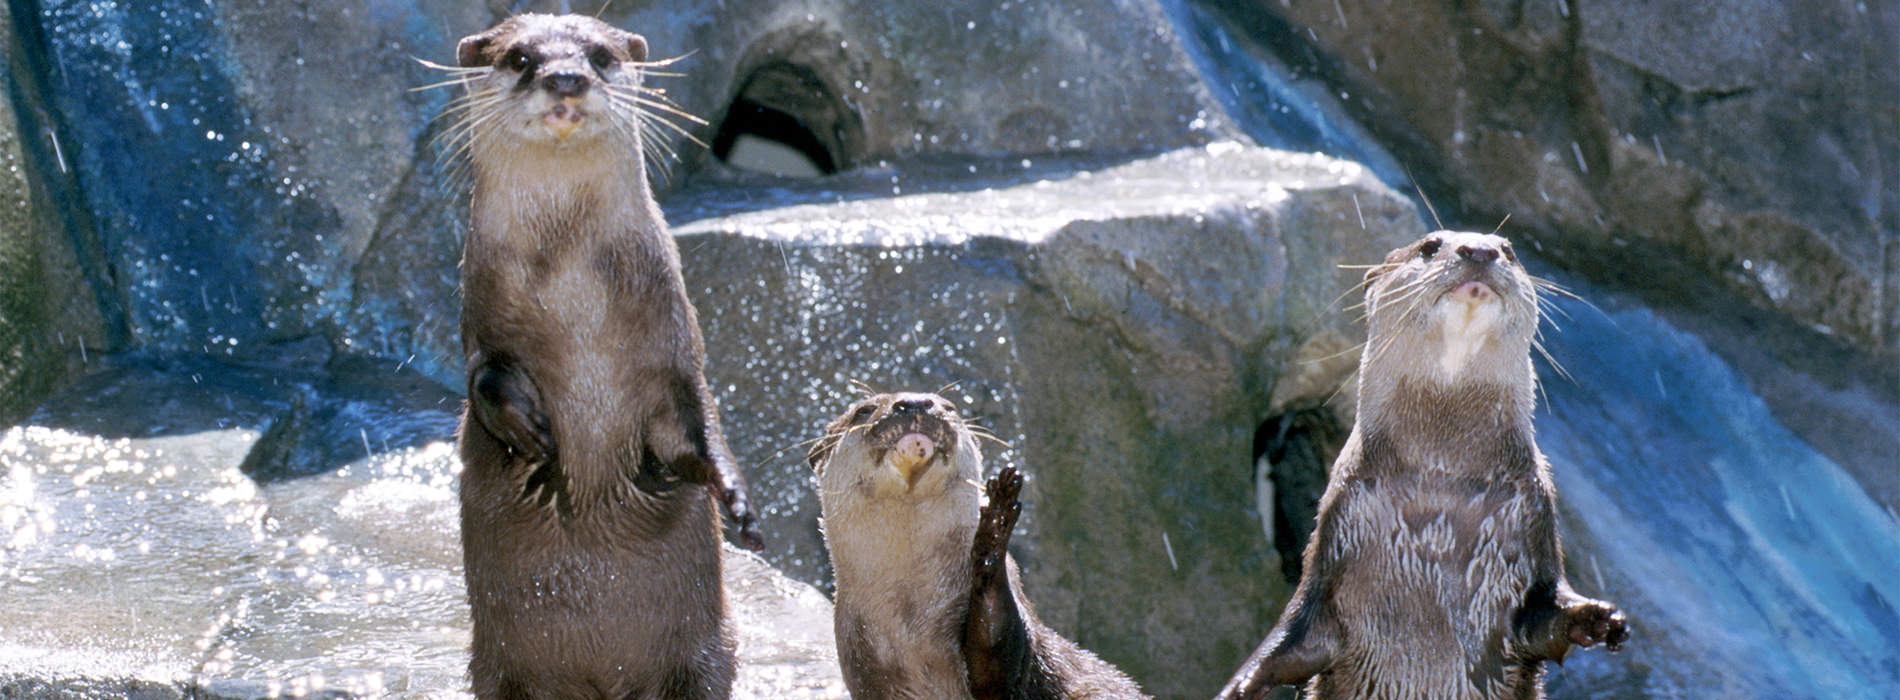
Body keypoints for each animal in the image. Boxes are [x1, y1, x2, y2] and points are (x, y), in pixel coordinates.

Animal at [442, 14, 759, 700]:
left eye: (600, 56)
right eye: (521, 57)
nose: (565, 76)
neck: (573, 299)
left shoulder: (674, 352)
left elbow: (696, 425)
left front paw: (737, 502)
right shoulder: (479, 322)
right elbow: (483, 378)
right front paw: (527, 431)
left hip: (705, 655)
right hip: (497, 667)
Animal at [809, 392, 1146, 700]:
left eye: (949, 407)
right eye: (863, 411)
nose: (915, 402)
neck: (911, 625)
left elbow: (997, 654)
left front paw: (993, 533)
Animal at [1215, 231, 1628, 700]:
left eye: (1508, 251)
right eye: (1431, 245)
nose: (1480, 251)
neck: (1439, 489)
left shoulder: (1535, 517)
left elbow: (1546, 617)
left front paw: (1597, 618)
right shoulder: (1336, 531)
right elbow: (1293, 637)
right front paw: (1240, 686)